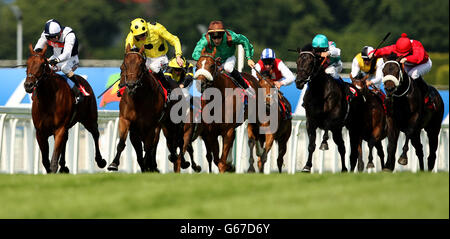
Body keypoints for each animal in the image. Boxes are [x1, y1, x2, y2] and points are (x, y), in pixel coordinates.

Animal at [24, 44, 106, 173]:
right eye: (27, 64)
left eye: (42, 64)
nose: (28, 85)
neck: (48, 99)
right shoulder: (40, 132)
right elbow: (45, 160)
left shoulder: (59, 128)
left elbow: (53, 160)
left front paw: (54, 168)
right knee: (66, 140)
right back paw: (63, 166)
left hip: (89, 119)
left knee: (95, 133)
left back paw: (100, 160)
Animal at [296, 44, 366, 172]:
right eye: (297, 62)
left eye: (310, 62)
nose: (299, 82)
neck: (319, 92)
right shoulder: (310, 121)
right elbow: (311, 145)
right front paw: (307, 166)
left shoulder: (334, 119)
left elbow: (326, 127)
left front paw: (324, 143)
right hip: (338, 130)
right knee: (342, 147)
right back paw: (344, 169)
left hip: (354, 126)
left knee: (352, 149)